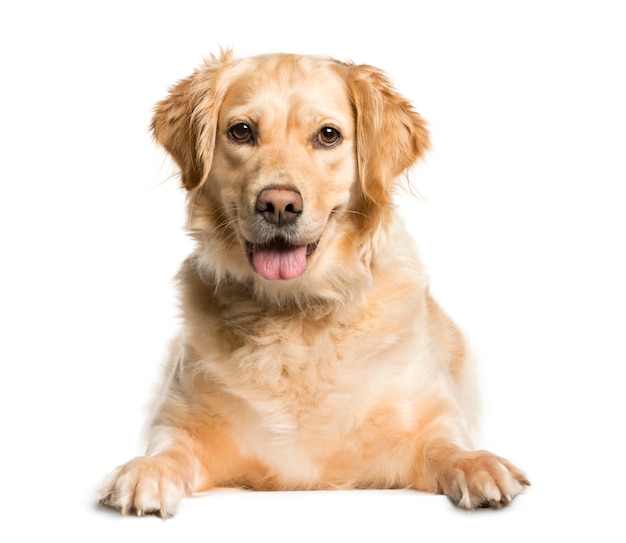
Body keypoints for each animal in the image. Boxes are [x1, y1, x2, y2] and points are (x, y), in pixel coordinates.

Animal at [97, 51, 528, 520]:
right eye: (241, 131)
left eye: (328, 135)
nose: (278, 205)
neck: (295, 311)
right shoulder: (181, 421)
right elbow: (170, 449)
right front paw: (147, 472)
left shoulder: (431, 420)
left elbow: (446, 446)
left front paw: (477, 464)